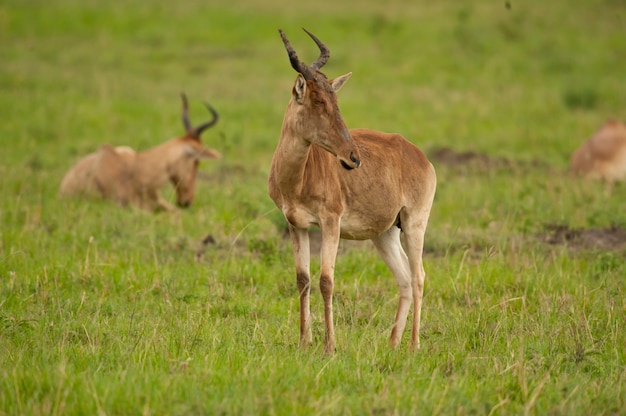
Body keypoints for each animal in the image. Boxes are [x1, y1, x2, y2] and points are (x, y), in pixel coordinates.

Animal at [266, 29, 434, 354]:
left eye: (336, 99)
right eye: (318, 100)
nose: (353, 158)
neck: (299, 176)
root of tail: (419, 155)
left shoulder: (331, 222)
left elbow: (326, 280)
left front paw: (330, 346)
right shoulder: (295, 224)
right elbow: (303, 279)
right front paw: (304, 342)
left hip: (414, 223)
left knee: (418, 276)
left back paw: (414, 345)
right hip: (385, 233)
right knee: (405, 279)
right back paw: (393, 343)